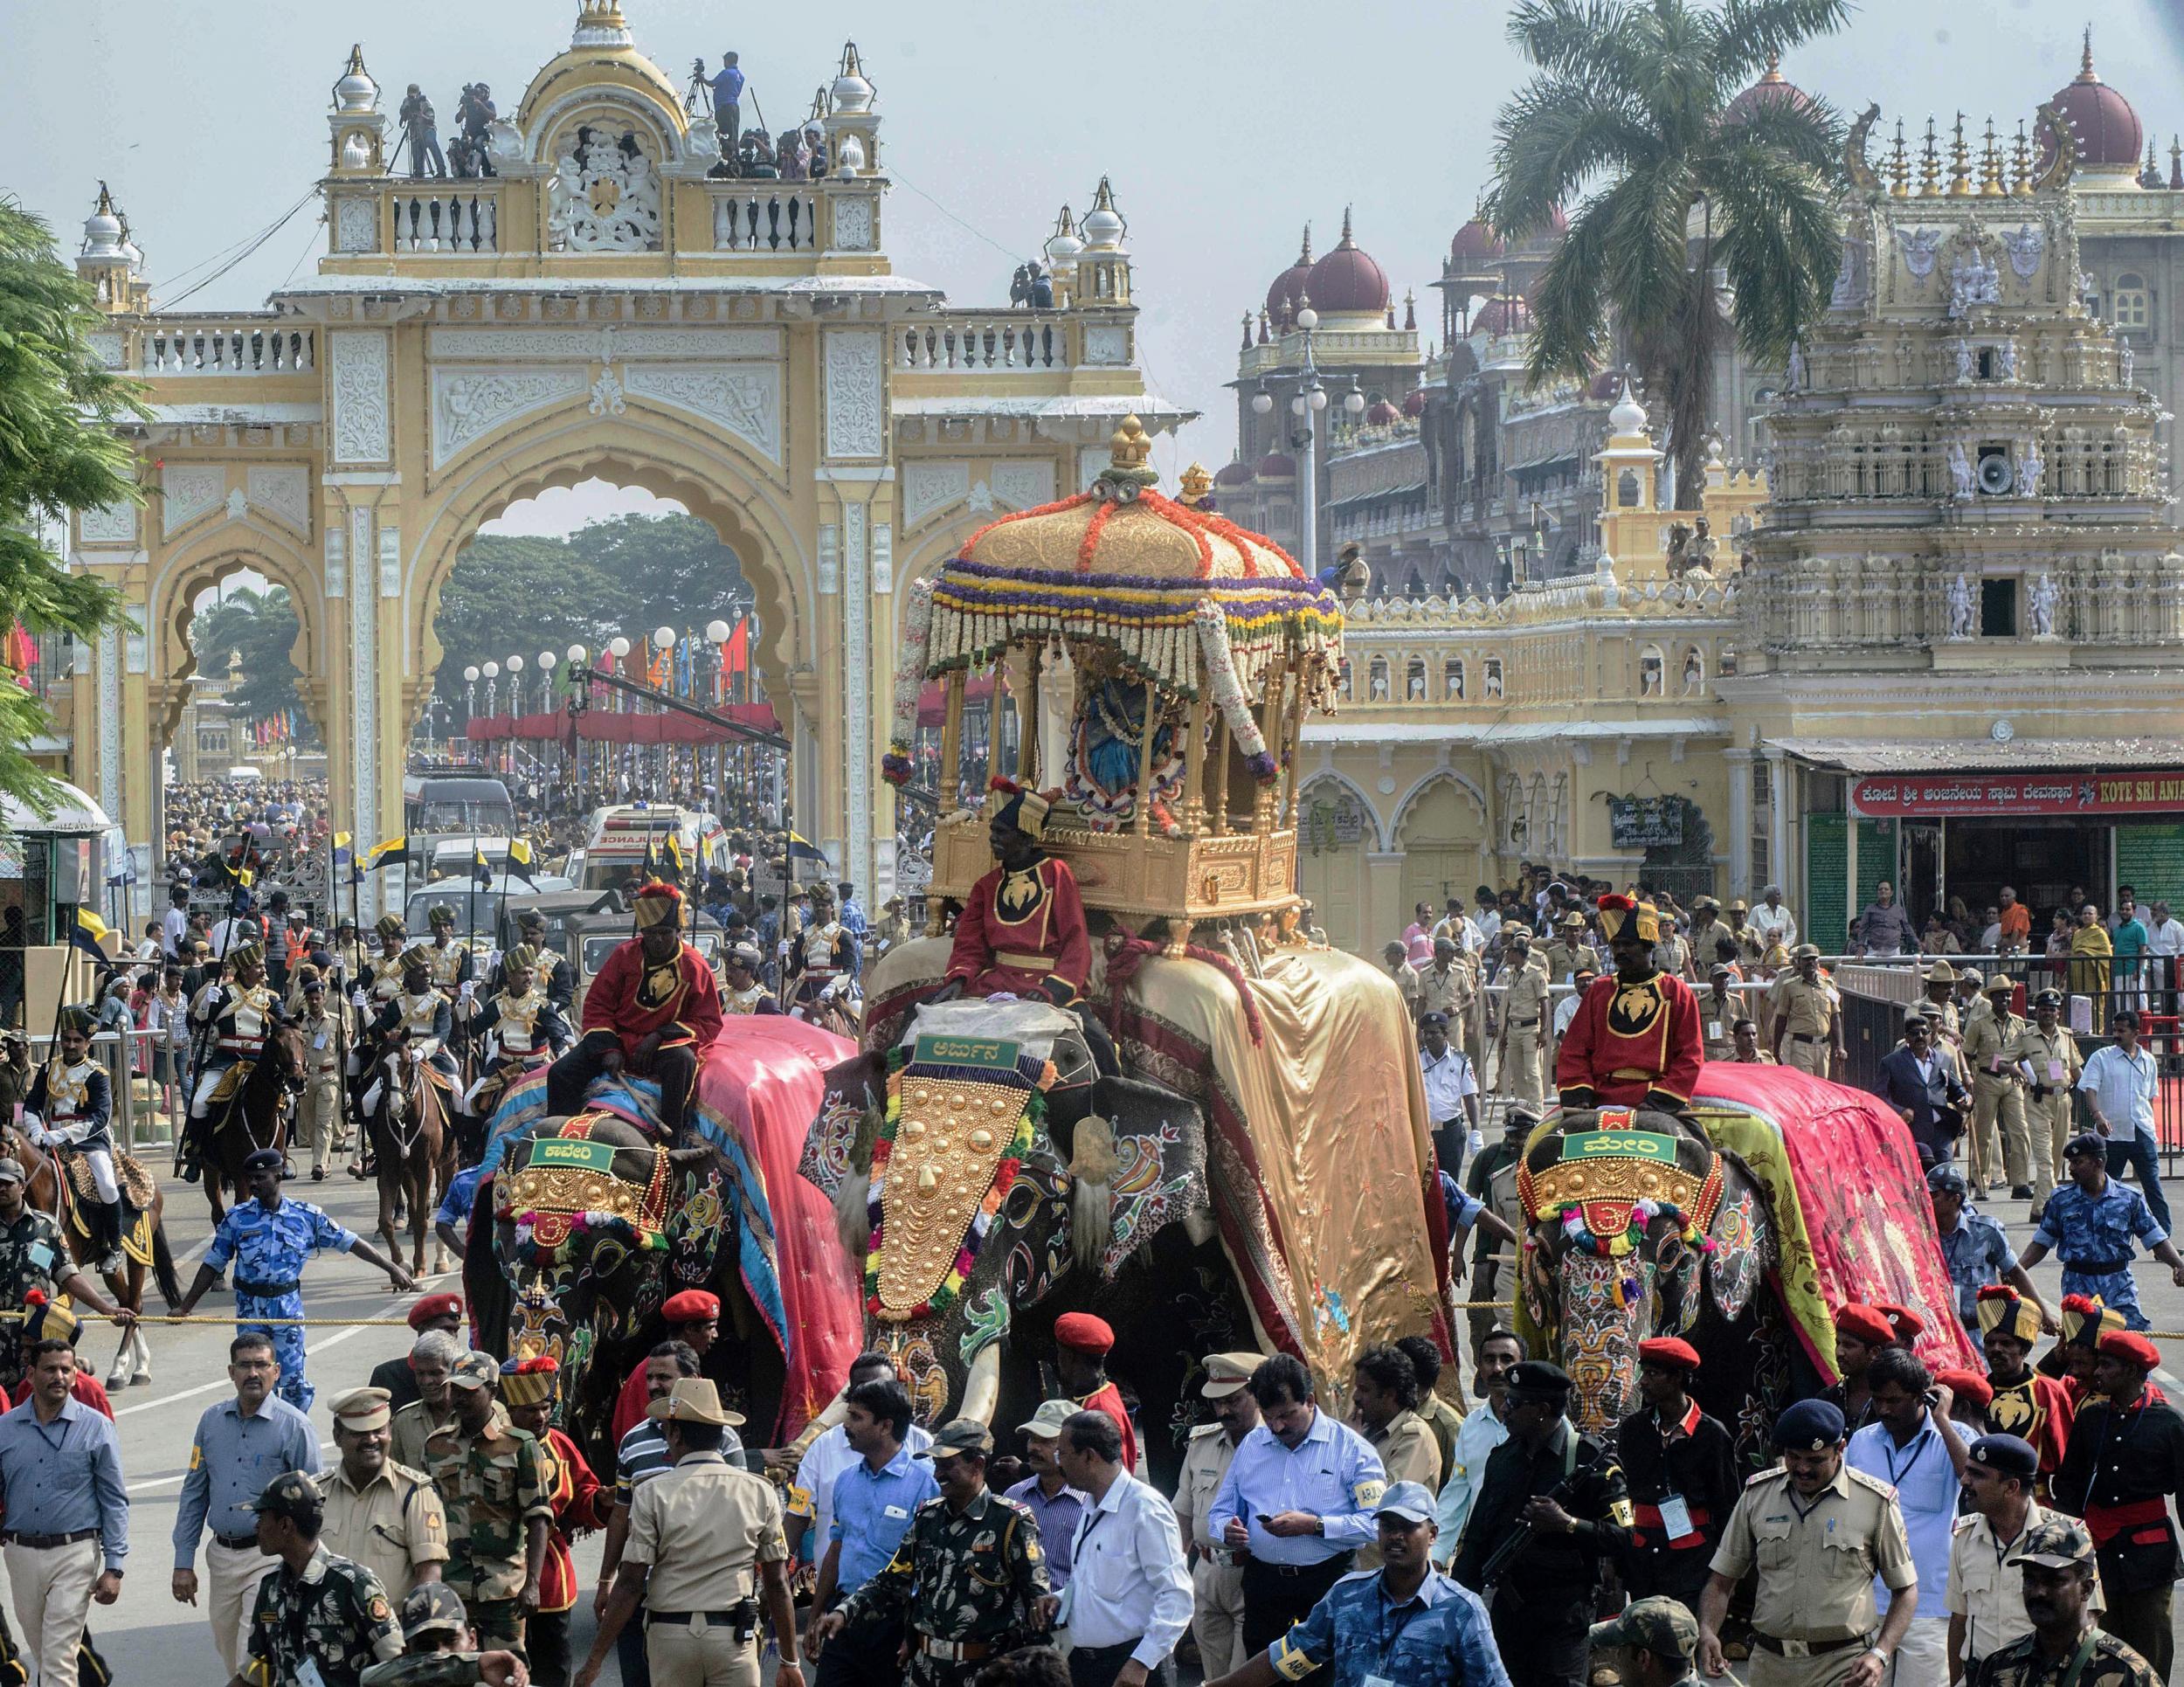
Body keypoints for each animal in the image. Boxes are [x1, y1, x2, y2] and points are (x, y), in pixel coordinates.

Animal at [0, 1127, 183, 1389]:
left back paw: (123, 1369)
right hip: (110, 1269)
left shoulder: (69, 1267)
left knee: (135, 1303)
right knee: (126, 1304)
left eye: (2, 1149)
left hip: (138, 1254)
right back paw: (138, 1364)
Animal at [197, 1013, 310, 1223]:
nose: (298, 1080)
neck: (260, 1118)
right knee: (217, 1212)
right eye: (277, 1044)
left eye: (303, 1042)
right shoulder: (241, 1177)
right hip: (210, 1168)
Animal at [367, 1040, 456, 1276]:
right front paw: (401, 1263)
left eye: (408, 1064)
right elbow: (386, 1221)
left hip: (449, 1163)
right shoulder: (390, 1170)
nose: (395, 1106)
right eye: (382, 1065)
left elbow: (422, 1222)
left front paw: (421, 1265)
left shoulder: (425, 1169)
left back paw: (441, 1258)